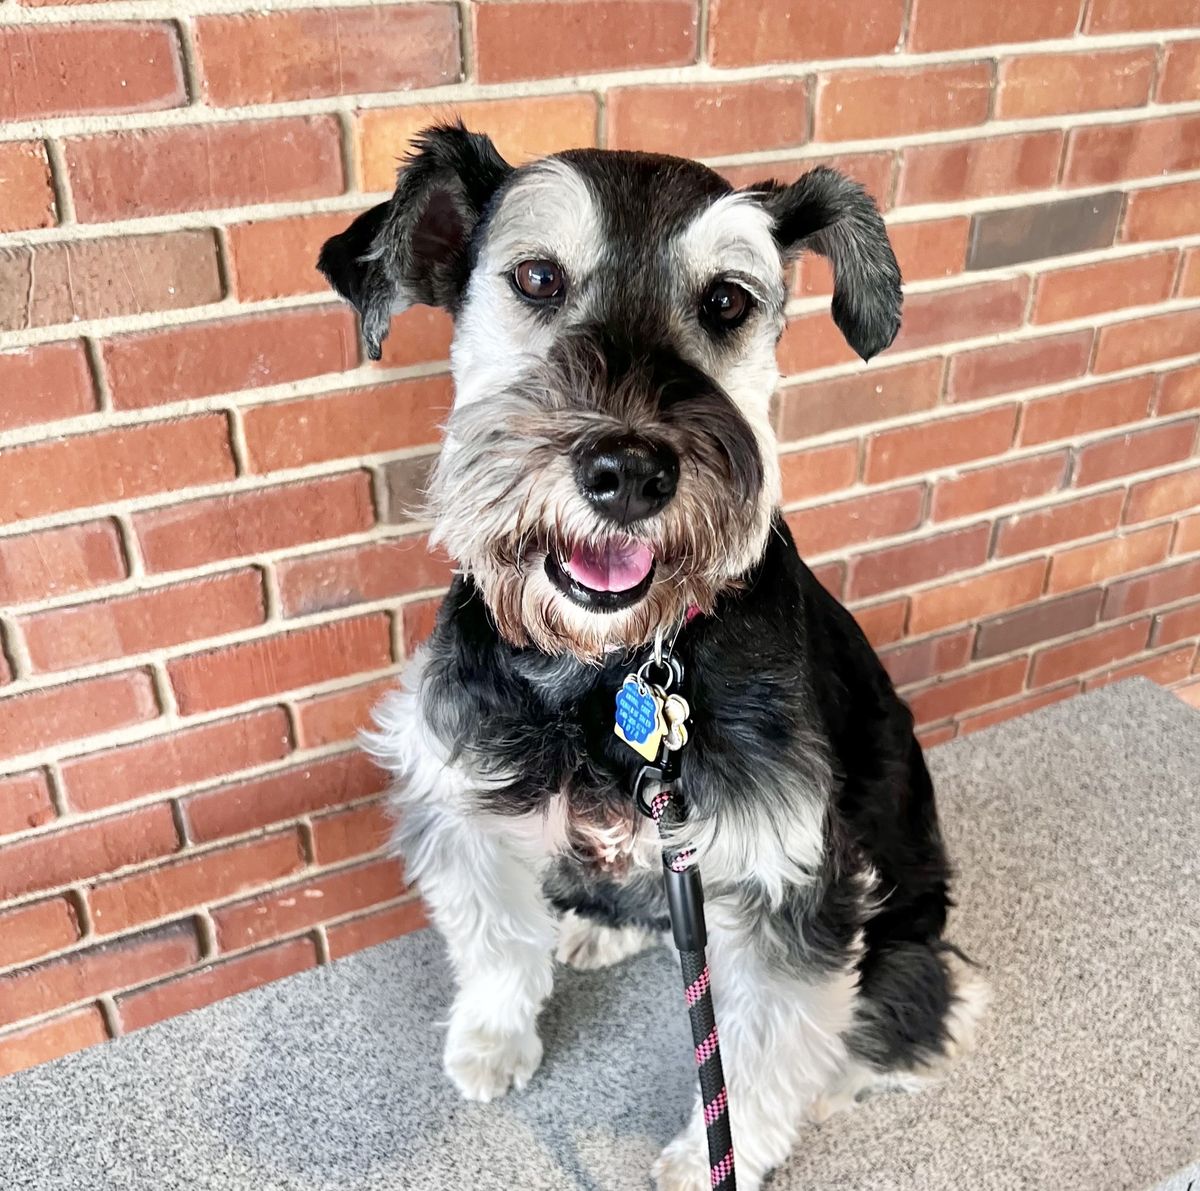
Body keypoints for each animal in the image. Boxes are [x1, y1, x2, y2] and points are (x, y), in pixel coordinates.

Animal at [316, 127, 984, 1191]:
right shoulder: (456, 782)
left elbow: (762, 1044)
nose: (628, 472)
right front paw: (491, 1041)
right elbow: (495, 938)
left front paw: (717, 1157)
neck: (611, 664)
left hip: (898, 925)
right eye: (536, 276)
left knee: (913, 1007)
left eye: (728, 301)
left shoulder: (798, 879)